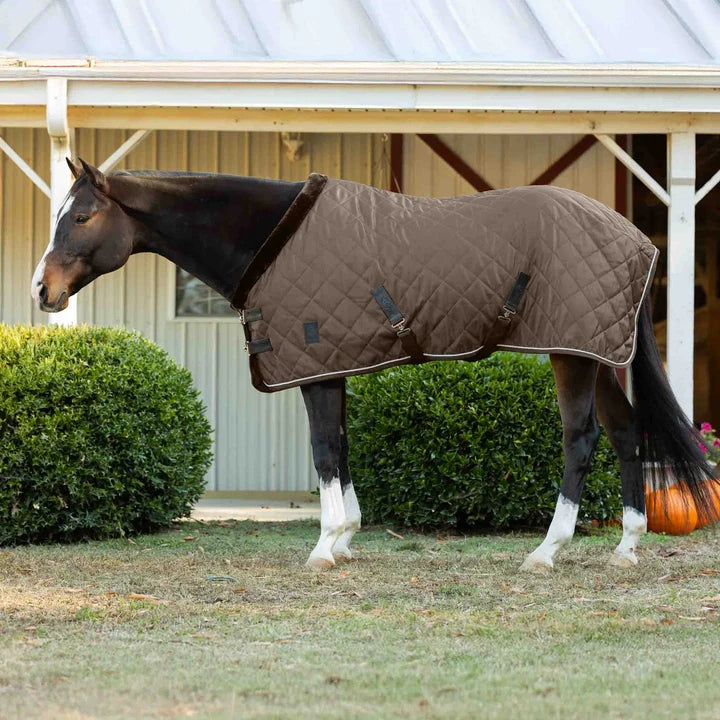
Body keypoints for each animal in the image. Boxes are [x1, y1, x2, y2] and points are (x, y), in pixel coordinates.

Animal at [31, 158, 716, 571]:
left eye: (82, 216)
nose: (42, 290)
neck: (273, 239)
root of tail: (636, 239)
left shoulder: (313, 365)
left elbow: (325, 450)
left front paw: (324, 547)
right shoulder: (328, 365)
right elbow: (341, 447)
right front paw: (347, 537)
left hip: (571, 355)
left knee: (582, 438)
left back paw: (547, 551)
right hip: (597, 355)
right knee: (626, 434)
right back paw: (626, 547)